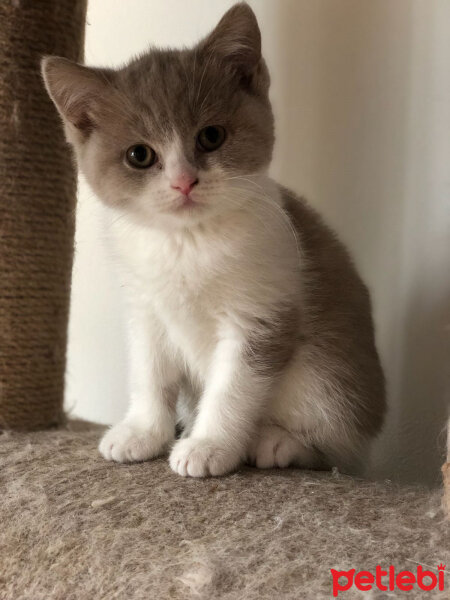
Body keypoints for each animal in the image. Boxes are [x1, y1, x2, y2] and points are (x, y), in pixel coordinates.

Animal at [42, 1, 384, 478]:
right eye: (139, 155)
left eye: (211, 136)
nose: (184, 181)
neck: (187, 241)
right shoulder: (145, 309)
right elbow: (150, 373)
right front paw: (143, 432)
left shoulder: (262, 311)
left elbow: (233, 387)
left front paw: (209, 446)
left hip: (330, 378)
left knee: (338, 448)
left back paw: (280, 442)